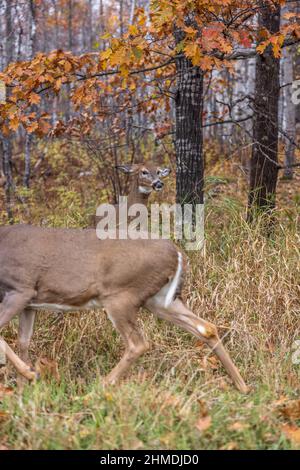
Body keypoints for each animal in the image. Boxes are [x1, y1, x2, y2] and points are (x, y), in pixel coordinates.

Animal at [0, 224, 248, 392]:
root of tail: (177, 254)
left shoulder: (20, 289)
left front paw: (29, 375)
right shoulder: (31, 303)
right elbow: (24, 341)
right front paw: (24, 386)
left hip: (120, 296)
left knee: (138, 343)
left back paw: (103, 384)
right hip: (158, 300)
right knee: (206, 327)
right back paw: (242, 386)